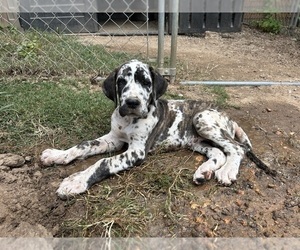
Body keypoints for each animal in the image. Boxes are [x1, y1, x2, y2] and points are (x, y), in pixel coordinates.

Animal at [41, 59, 276, 198]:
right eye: (121, 81)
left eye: (146, 82)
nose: (132, 102)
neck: (128, 121)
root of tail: (228, 117)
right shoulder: (113, 138)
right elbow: (84, 145)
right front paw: (57, 155)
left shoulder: (136, 151)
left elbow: (103, 162)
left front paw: (76, 181)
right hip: (198, 141)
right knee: (219, 152)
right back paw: (204, 172)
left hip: (203, 119)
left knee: (236, 148)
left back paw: (227, 171)